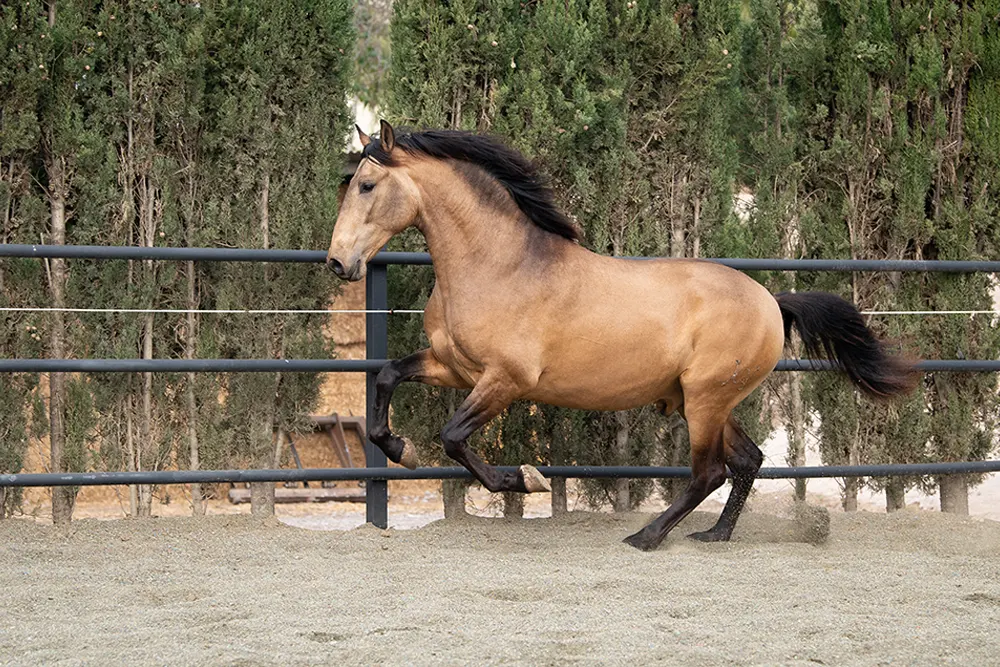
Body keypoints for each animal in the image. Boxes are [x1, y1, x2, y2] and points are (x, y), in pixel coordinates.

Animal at [326, 121, 916, 552]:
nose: (338, 263)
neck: (501, 266)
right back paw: (714, 535)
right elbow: (386, 376)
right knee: (747, 461)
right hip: (704, 400)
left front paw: (527, 479)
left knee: (709, 471)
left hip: (705, 399)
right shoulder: (453, 367)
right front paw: (400, 449)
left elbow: (452, 437)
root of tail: (771, 301)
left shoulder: (505, 381)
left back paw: (647, 536)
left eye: (367, 185)